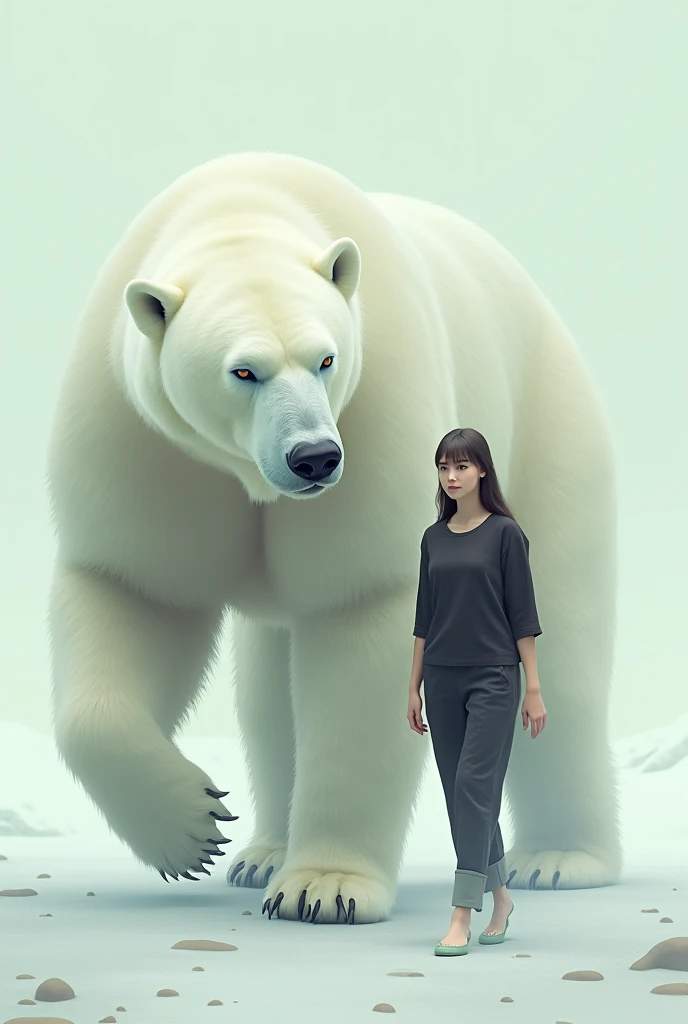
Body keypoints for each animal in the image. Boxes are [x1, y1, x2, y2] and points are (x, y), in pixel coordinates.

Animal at [45, 153, 622, 929]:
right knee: (266, 694)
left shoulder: (377, 405)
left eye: (324, 358)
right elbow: (135, 591)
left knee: (562, 645)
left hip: (546, 426)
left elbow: (364, 612)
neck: (241, 208)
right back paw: (260, 854)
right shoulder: (146, 443)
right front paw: (193, 827)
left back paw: (560, 859)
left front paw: (325, 889)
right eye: (243, 370)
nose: (315, 458)